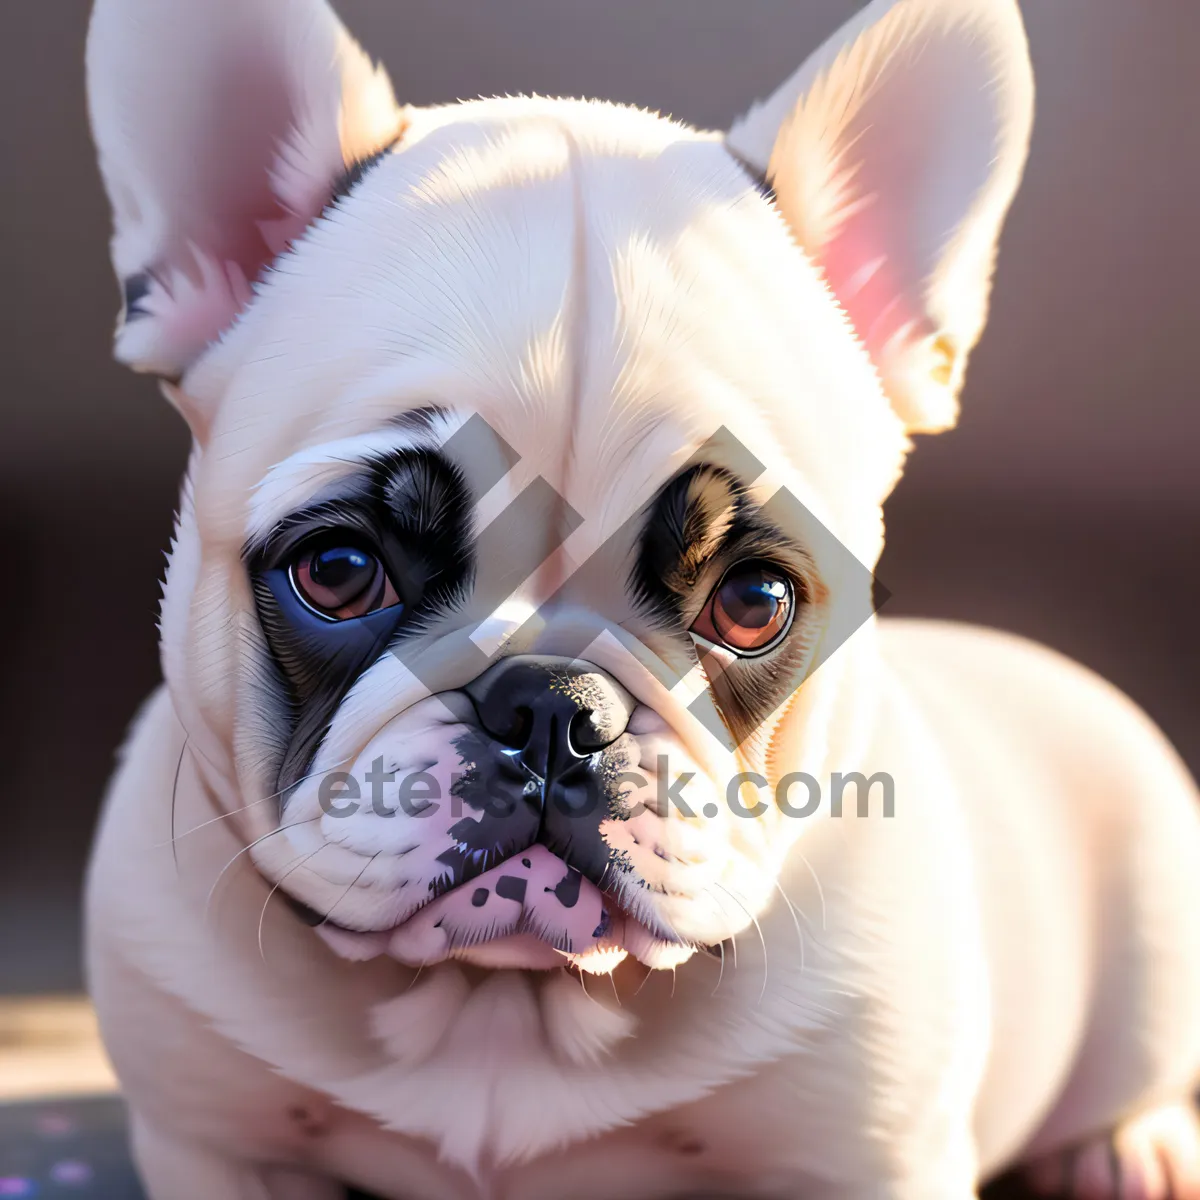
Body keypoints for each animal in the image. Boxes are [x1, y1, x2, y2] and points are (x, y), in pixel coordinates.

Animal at [82, 0, 1200, 1195]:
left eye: (753, 602)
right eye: (338, 572)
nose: (550, 706)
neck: (506, 999)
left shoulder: (862, 1154)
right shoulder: (219, 1145)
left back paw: (1128, 1146)